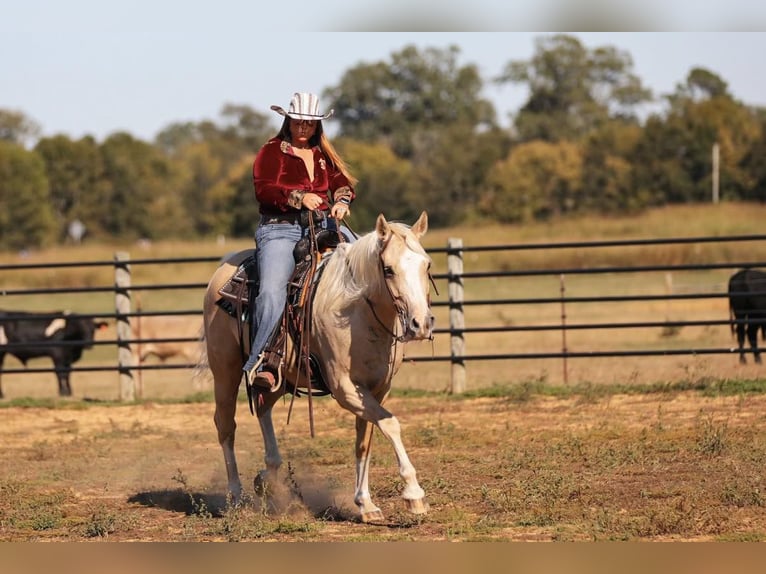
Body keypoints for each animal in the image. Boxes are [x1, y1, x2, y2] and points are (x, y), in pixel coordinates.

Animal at [202, 211, 435, 523]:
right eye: (388, 269)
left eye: (426, 264)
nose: (421, 324)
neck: (356, 312)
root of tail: (224, 270)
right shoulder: (345, 388)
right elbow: (390, 424)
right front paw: (414, 495)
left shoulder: (377, 389)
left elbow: (365, 440)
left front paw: (365, 504)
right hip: (224, 370)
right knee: (226, 425)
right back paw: (236, 496)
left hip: (278, 377)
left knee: (263, 407)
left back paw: (267, 478)